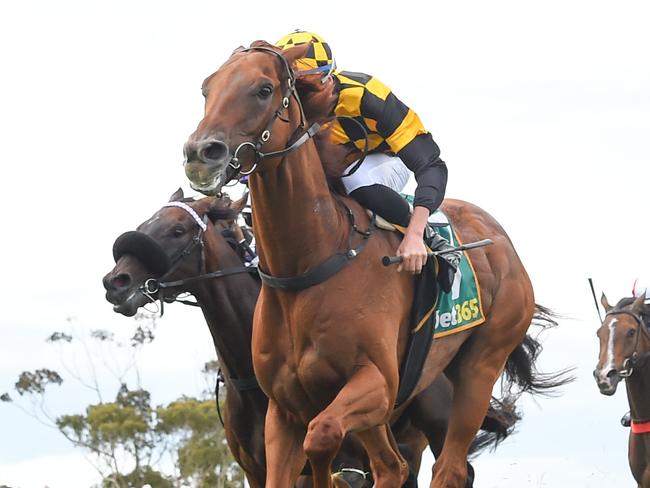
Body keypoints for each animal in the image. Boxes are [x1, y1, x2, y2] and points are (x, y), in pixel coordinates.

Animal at [182, 42, 568, 488]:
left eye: (264, 89)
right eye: (206, 88)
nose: (199, 154)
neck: (310, 264)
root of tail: (499, 237)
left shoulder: (378, 384)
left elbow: (322, 437)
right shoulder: (283, 409)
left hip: (481, 365)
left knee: (447, 466)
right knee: (392, 465)